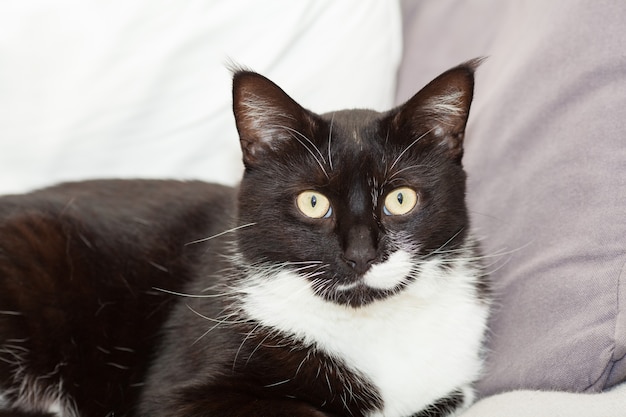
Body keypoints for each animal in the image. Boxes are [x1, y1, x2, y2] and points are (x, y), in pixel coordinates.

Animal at [0, 59, 488, 416]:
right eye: (313, 202)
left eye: (400, 199)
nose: (360, 254)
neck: (371, 324)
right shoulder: (177, 391)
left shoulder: (451, 385)